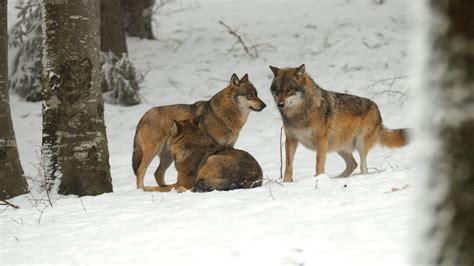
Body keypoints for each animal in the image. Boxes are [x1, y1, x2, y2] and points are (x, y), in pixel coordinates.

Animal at [133, 74, 264, 188]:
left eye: (257, 94)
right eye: (249, 95)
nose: (265, 105)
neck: (222, 116)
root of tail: (144, 115)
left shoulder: (229, 147)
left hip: (168, 156)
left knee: (158, 173)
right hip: (153, 151)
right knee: (140, 171)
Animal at [268, 63, 410, 182]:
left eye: (289, 90)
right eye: (277, 91)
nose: (280, 104)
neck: (299, 114)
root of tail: (378, 111)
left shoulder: (321, 140)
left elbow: (318, 163)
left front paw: (318, 179)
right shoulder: (290, 140)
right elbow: (288, 165)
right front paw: (286, 183)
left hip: (360, 144)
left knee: (363, 167)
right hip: (338, 146)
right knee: (353, 164)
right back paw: (338, 178)